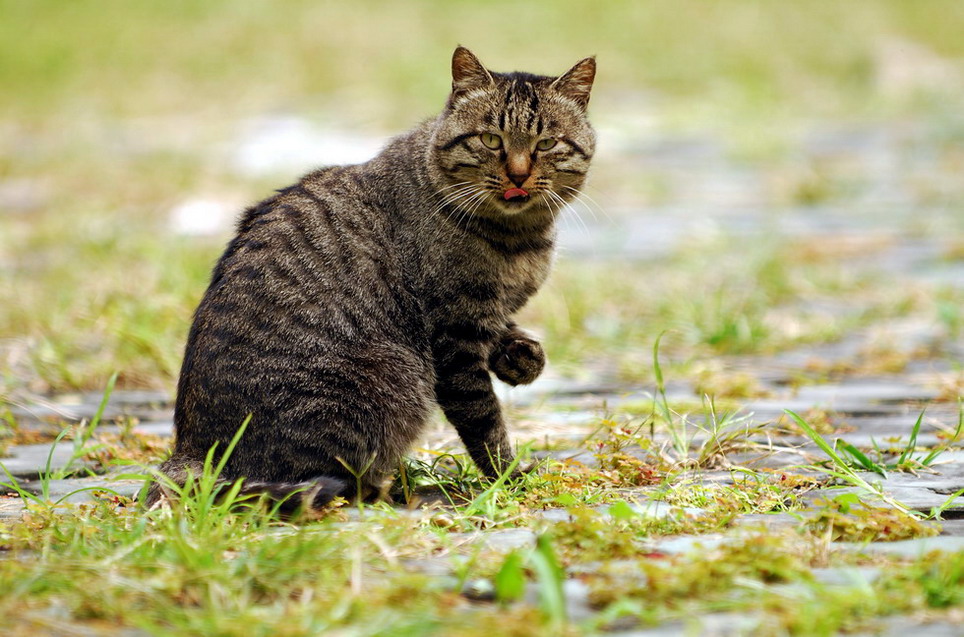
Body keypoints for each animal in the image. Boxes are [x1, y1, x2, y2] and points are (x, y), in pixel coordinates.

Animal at [145, 46, 596, 512]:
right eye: (491, 140)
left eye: (546, 144)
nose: (519, 175)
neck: (521, 237)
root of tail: (190, 452)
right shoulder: (454, 339)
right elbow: (484, 421)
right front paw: (509, 478)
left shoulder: (485, 316)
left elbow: (512, 337)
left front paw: (521, 358)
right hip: (392, 382)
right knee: (330, 485)